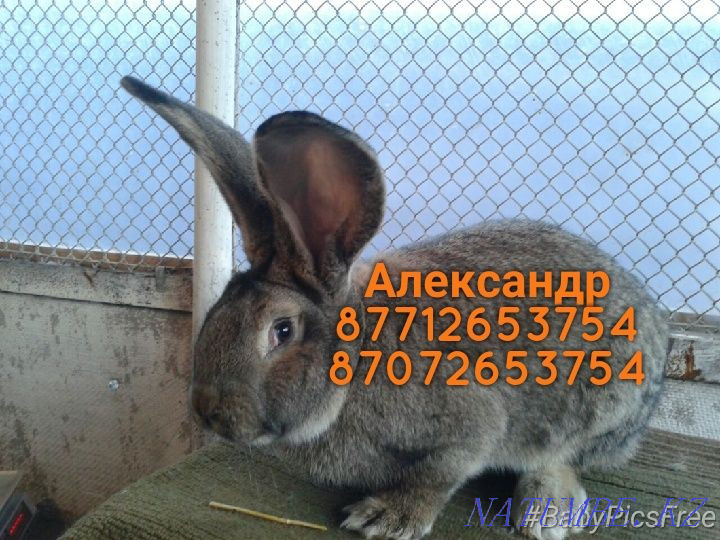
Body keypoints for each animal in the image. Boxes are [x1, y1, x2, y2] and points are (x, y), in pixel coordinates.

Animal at [121, 76, 667, 540]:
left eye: (281, 330)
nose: (206, 411)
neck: (358, 354)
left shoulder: (469, 428)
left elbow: (440, 473)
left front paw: (386, 518)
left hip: (601, 406)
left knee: (564, 459)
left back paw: (544, 512)